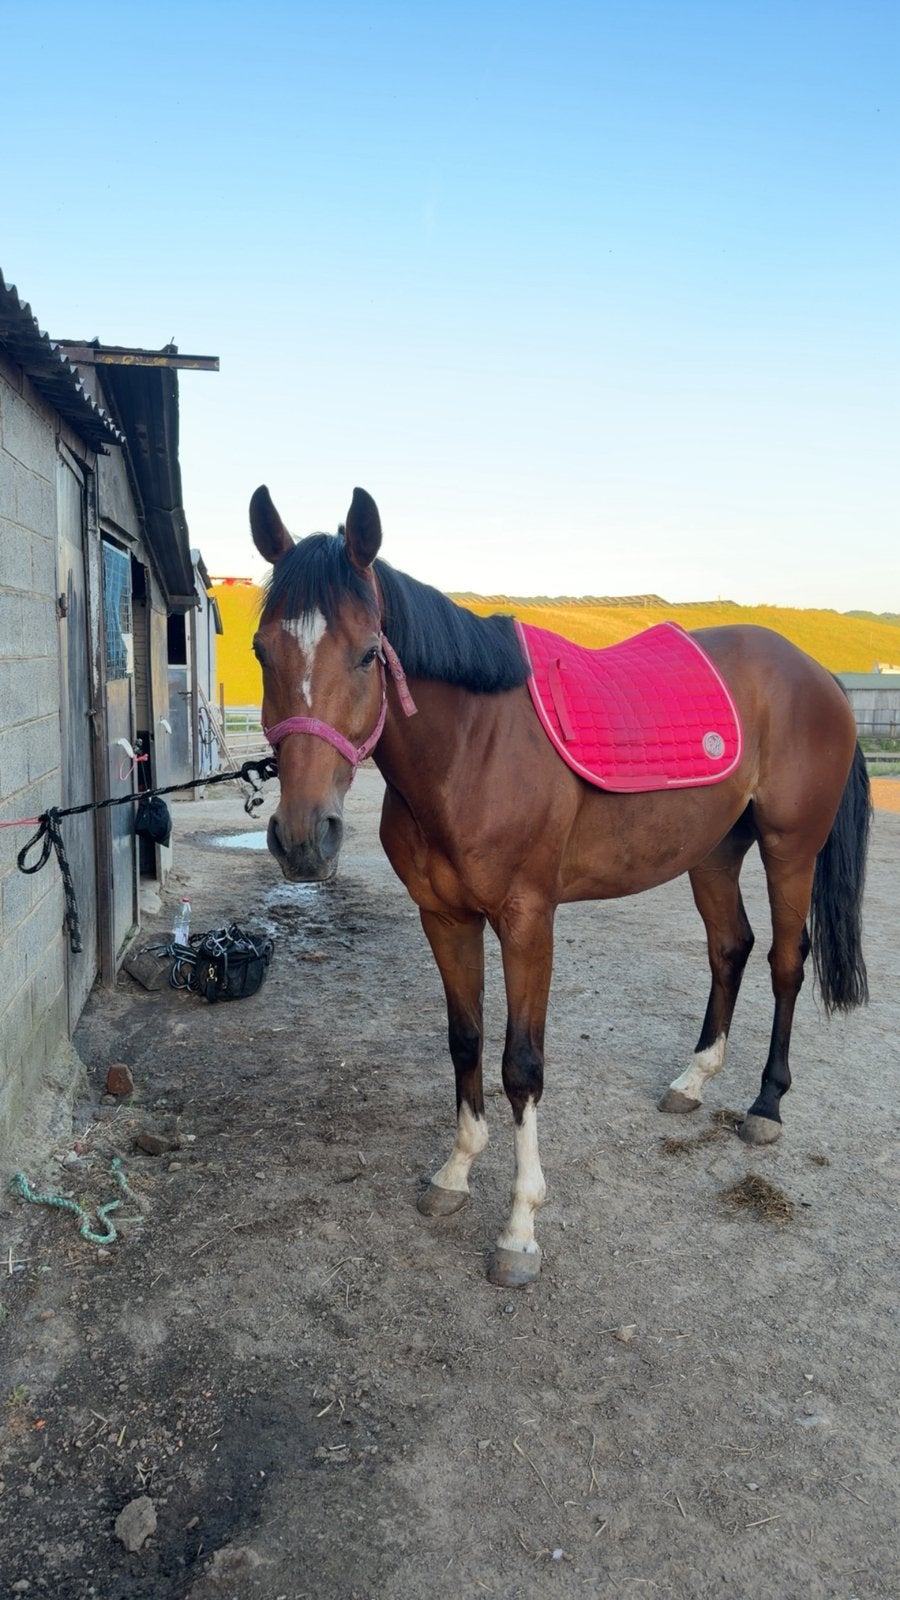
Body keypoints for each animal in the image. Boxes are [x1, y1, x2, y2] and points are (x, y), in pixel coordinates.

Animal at [249, 485, 870, 1287]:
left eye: (367, 652)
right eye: (262, 651)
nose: (302, 838)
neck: (472, 749)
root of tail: (819, 675)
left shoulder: (526, 920)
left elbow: (521, 1065)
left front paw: (519, 1230)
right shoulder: (444, 918)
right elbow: (465, 1041)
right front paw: (455, 1175)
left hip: (791, 849)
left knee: (787, 962)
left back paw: (766, 1104)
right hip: (713, 853)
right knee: (730, 949)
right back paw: (694, 1079)